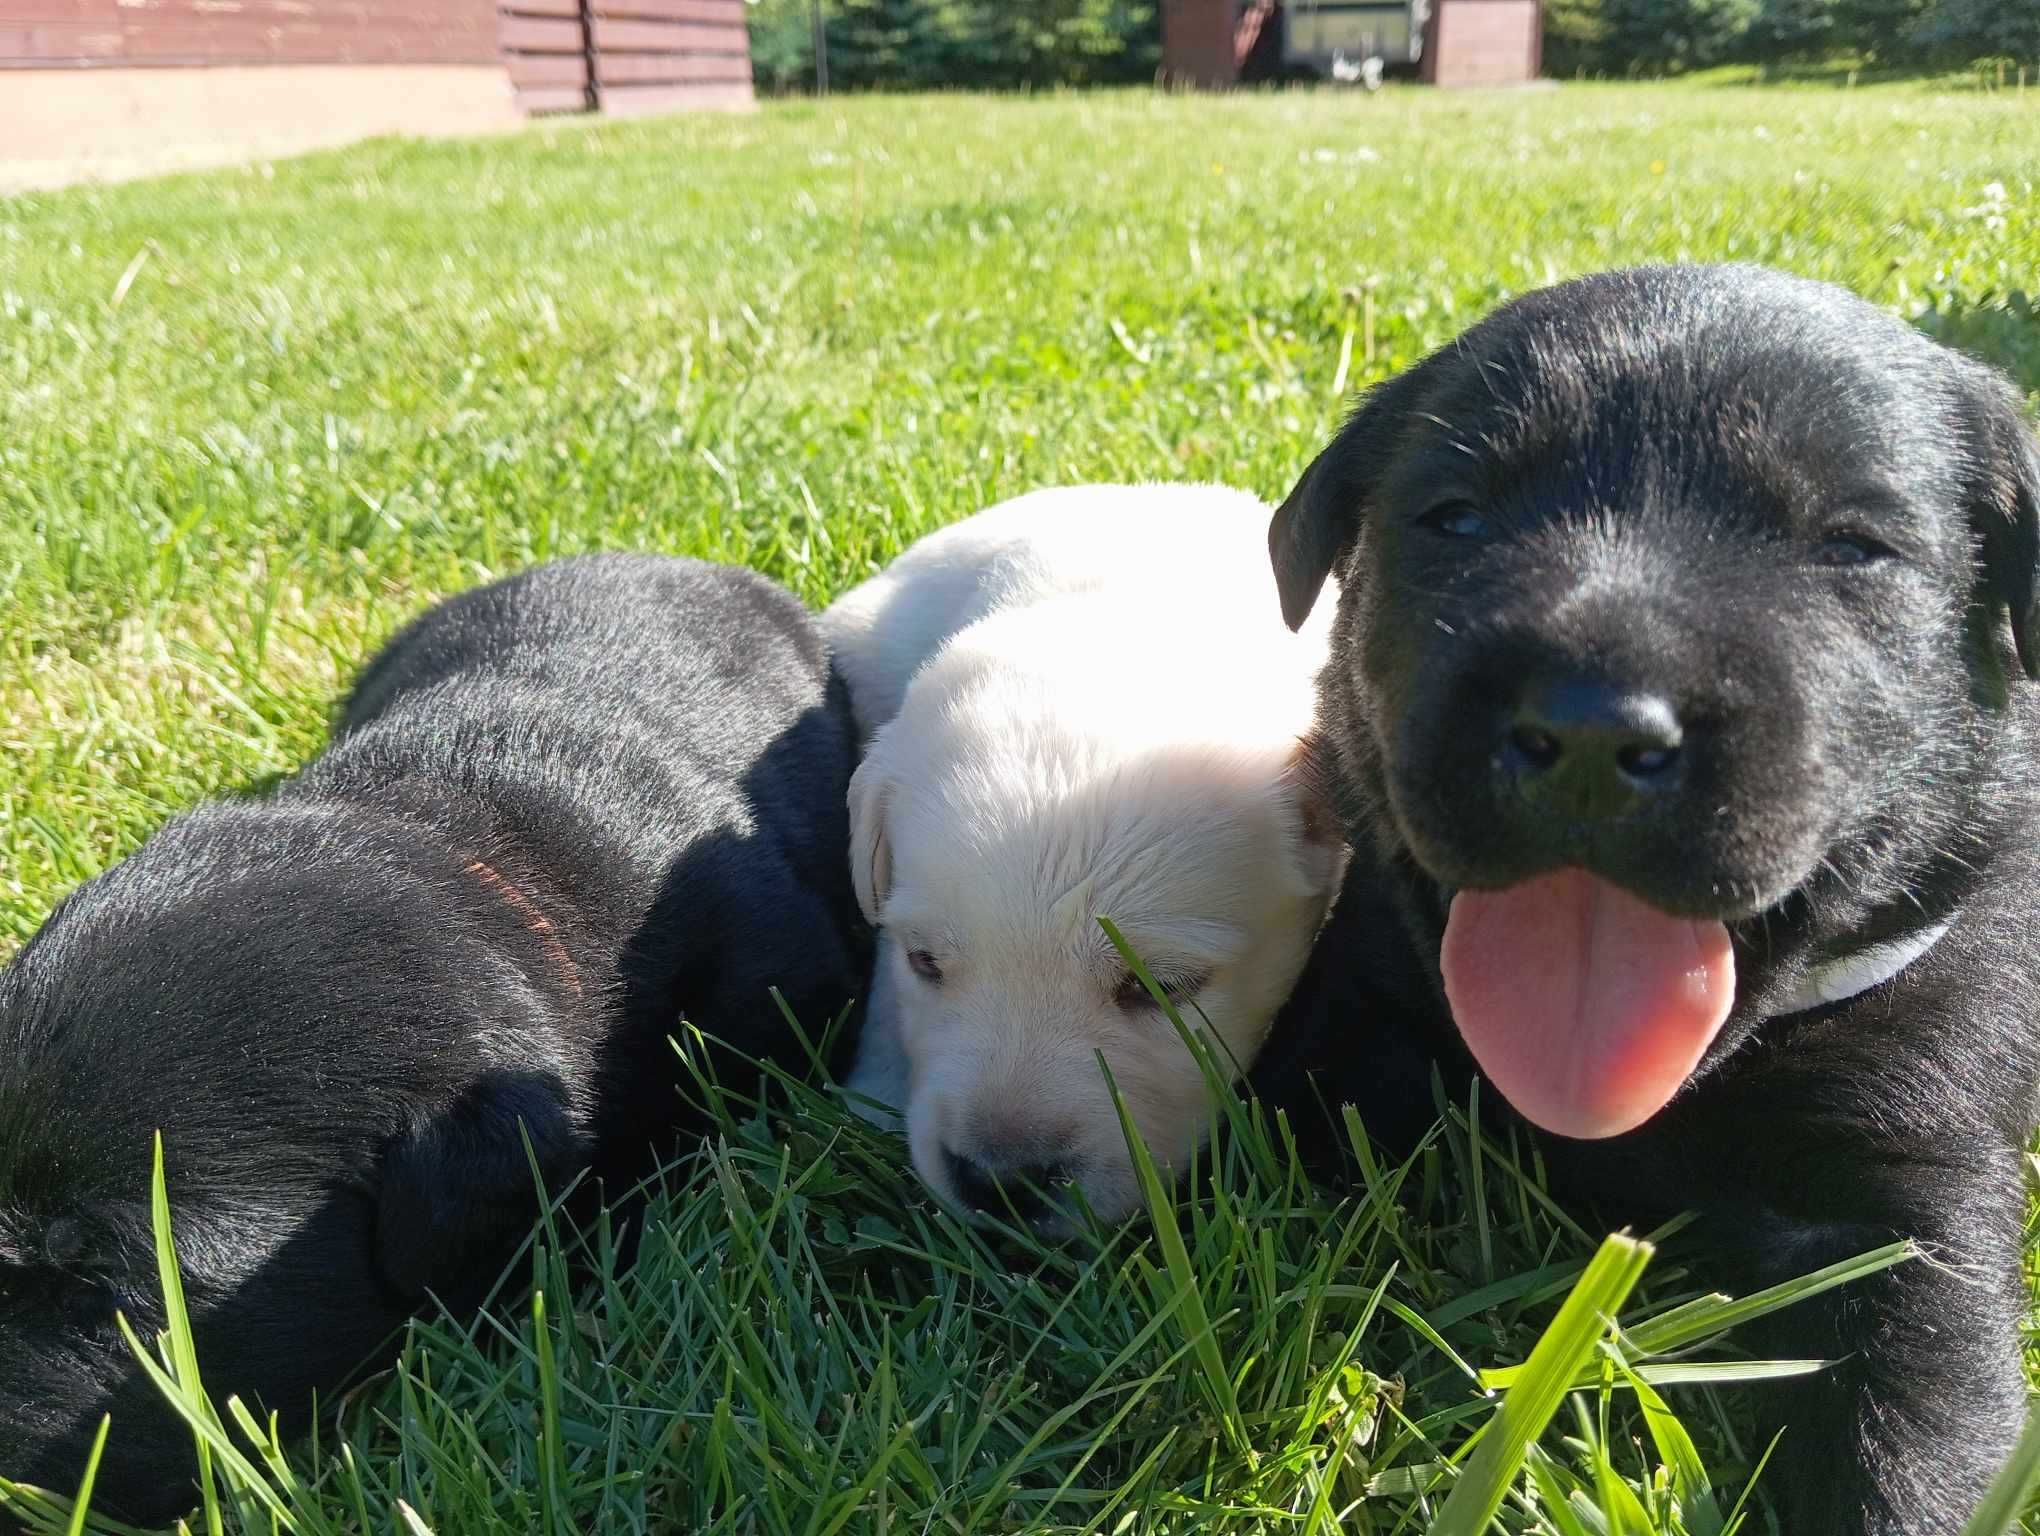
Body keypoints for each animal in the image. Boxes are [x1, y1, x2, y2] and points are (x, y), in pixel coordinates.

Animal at [1256, 267, 2040, 1533]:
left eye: (1853, 545)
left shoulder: (1912, 1187)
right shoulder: (1343, 1030)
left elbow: (1927, 1431)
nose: (1588, 728)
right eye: (1454, 518)